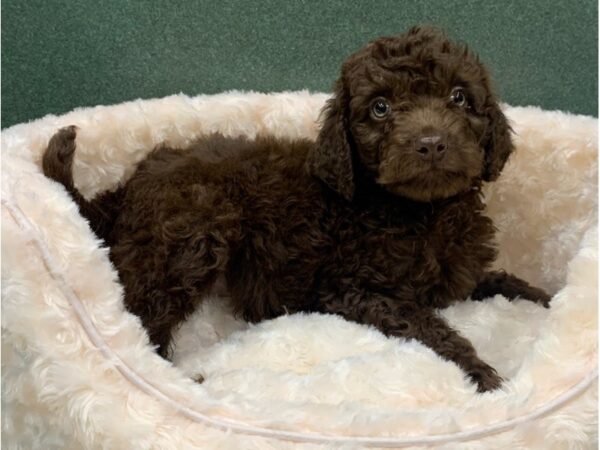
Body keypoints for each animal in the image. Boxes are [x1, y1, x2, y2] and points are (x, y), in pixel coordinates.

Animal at [41, 27, 548, 390]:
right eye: (380, 108)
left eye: (459, 97)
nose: (430, 143)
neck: (421, 211)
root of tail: (130, 186)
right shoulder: (351, 289)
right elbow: (427, 325)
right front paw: (483, 375)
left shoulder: (458, 273)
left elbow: (498, 281)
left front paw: (544, 297)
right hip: (188, 238)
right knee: (142, 321)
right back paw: (181, 385)